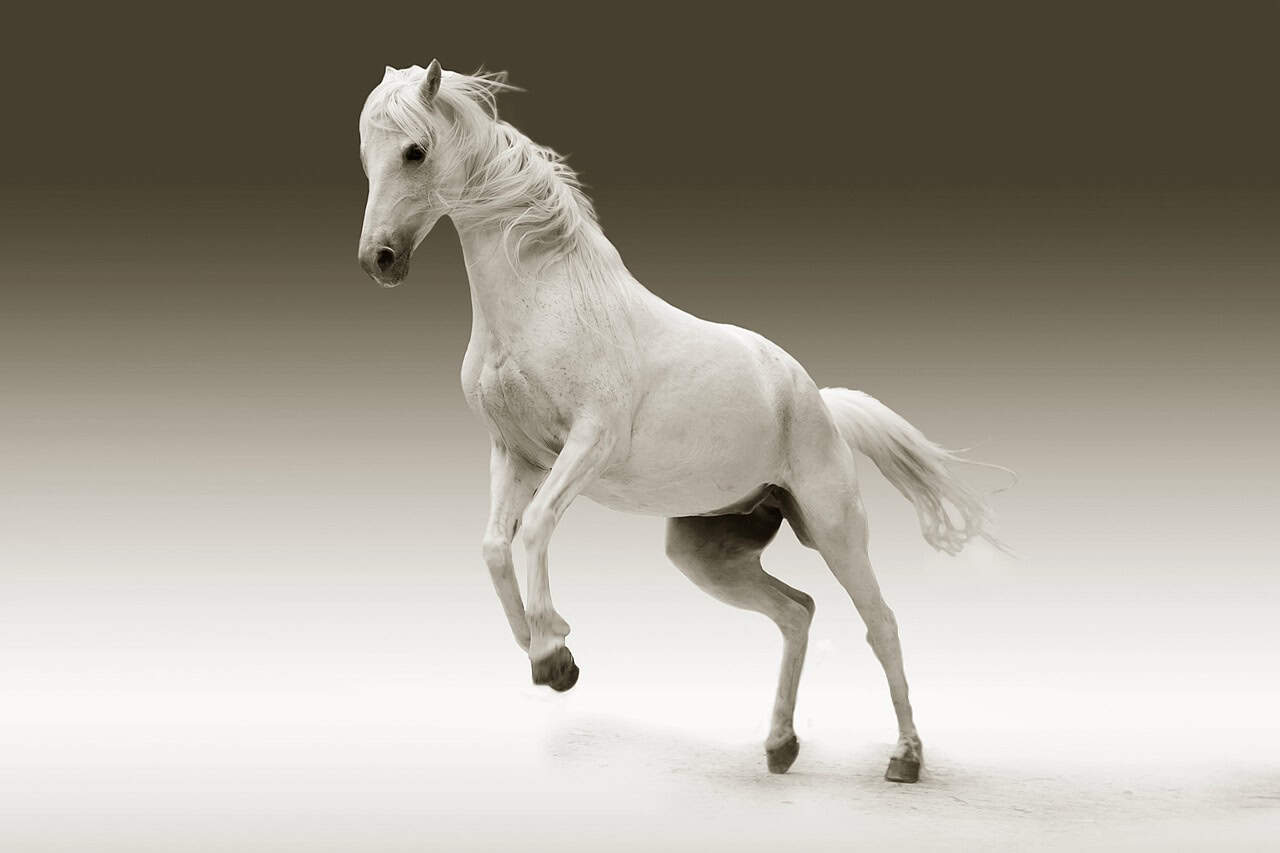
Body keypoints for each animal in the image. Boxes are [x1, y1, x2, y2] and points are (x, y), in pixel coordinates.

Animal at [356, 60, 1005, 784]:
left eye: (415, 151)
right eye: (366, 154)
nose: (379, 259)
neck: (545, 300)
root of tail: (818, 401)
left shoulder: (588, 444)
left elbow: (536, 529)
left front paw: (554, 650)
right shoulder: (514, 453)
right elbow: (496, 545)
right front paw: (546, 653)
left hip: (834, 529)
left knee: (881, 623)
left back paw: (905, 757)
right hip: (707, 551)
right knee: (797, 612)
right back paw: (780, 745)